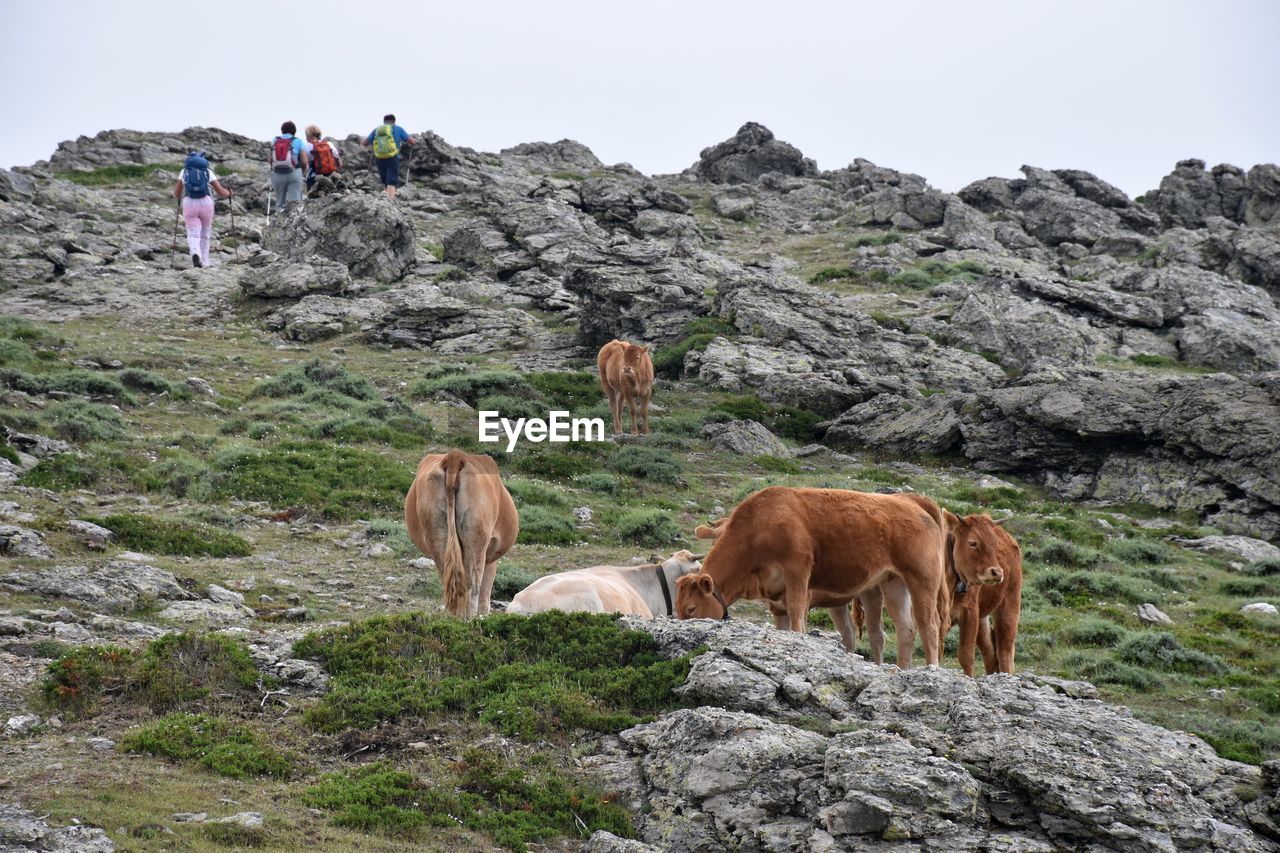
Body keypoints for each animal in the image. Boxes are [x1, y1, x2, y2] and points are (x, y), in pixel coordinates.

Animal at [401, 445, 517, 617]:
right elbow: (485, 596)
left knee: (449, 580)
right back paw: (470, 618)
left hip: (437, 533)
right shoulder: (491, 557)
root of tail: (455, 456)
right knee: (473, 585)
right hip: (477, 538)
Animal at [680, 484, 952, 666]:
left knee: (928, 626)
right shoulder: (775, 600)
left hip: (922, 579)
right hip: (892, 582)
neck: (755, 533)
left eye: (692, 609)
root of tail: (914, 502)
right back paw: (902, 670)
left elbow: (798, 622)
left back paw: (931, 670)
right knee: (905, 628)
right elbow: (784, 626)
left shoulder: (797, 574)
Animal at [947, 507, 1024, 676]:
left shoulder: (970, 612)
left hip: (1009, 604)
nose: (996, 572)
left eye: (994, 544)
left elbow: (965, 656)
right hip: (983, 617)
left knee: (1004, 650)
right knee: (989, 652)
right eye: (973, 543)